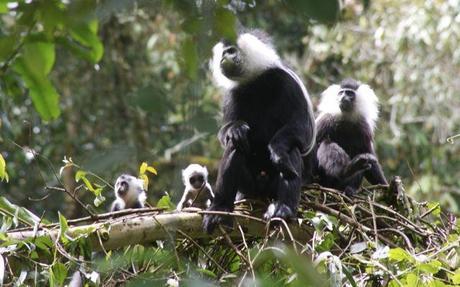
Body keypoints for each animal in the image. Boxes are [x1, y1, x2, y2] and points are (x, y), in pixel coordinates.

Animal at [203, 30, 318, 233]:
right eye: (223, 52)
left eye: (231, 50)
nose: (224, 56)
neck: (255, 81)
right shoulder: (233, 94)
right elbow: (226, 132)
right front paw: (236, 129)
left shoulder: (288, 82)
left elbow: (302, 127)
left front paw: (276, 150)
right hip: (248, 186)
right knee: (235, 146)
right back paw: (220, 210)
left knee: (291, 151)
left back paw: (284, 209)